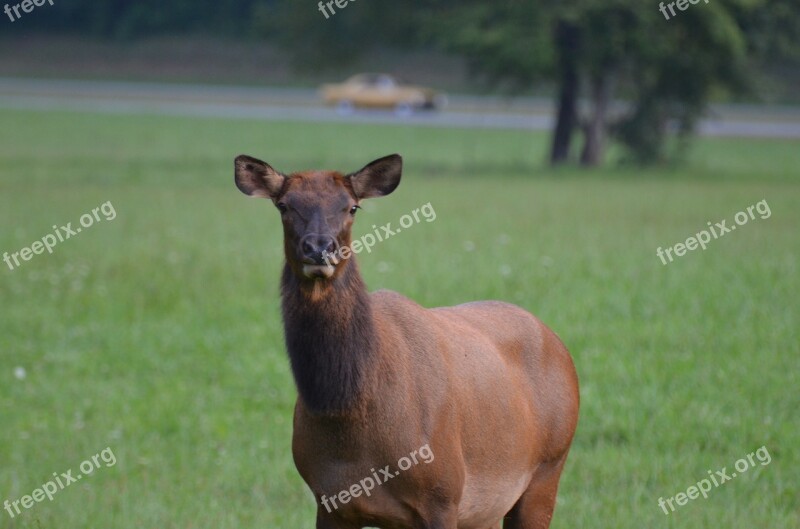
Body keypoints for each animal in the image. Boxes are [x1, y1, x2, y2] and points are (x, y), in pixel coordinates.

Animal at [234, 153, 580, 528]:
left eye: (352, 206)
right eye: (284, 204)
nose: (319, 248)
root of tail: (560, 346)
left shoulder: (444, 493)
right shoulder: (329, 501)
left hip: (548, 468)